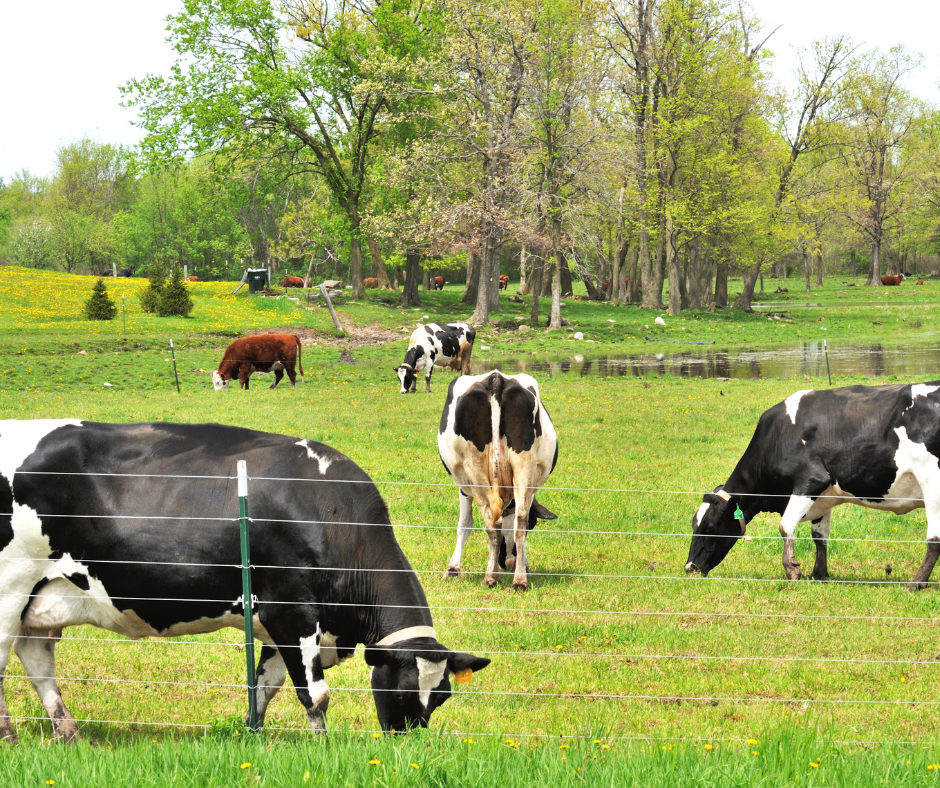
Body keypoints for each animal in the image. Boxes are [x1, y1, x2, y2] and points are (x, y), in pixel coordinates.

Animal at [1, 418, 492, 740]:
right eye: (404, 691)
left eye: (441, 697)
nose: (406, 744)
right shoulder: (293, 611)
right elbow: (316, 694)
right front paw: (325, 747)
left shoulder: (277, 624)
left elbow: (265, 686)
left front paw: (250, 735)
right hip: (10, 588)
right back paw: (10, 735)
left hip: (41, 598)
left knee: (37, 660)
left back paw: (68, 733)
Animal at [438, 372, 560, 588]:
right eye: (535, 524)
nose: (509, 563)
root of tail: (496, 378)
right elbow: (522, 525)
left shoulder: (464, 486)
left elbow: (464, 524)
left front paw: (452, 568)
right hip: (523, 464)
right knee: (519, 519)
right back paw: (519, 580)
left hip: (474, 468)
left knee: (491, 521)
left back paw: (491, 576)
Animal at [684, 382, 940, 592]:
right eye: (694, 524)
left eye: (710, 526)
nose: (689, 567)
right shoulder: (823, 497)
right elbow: (819, 537)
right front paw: (818, 574)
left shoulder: (811, 480)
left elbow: (785, 526)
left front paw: (792, 571)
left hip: (932, 484)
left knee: (934, 539)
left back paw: (915, 584)